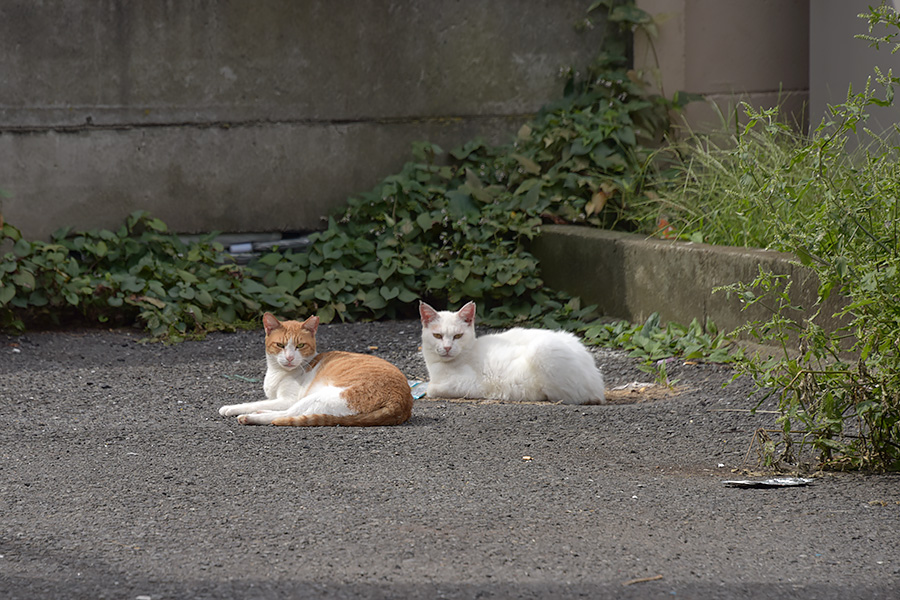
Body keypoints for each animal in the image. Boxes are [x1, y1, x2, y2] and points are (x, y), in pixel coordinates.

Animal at [218, 312, 414, 424]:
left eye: (300, 346)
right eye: (280, 345)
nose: (290, 357)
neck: (278, 373)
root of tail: (401, 403)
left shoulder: (288, 399)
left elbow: (254, 403)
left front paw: (231, 408)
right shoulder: (276, 398)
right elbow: (257, 402)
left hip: (318, 397)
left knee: (285, 415)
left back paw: (251, 417)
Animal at [420, 300, 604, 404]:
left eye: (458, 336)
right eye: (437, 335)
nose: (447, 347)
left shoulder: (472, 384)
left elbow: (431, 389)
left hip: (542, 349)